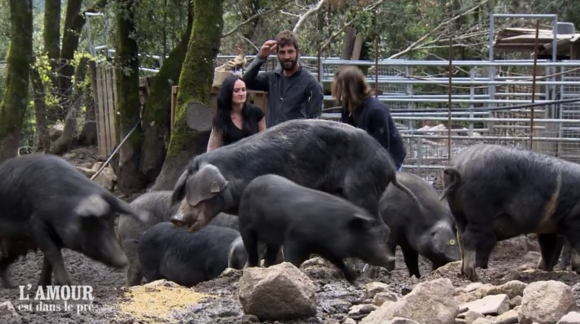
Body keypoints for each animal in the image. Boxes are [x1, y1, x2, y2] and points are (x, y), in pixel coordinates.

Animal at [0, 153, 146, 288]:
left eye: (111, 224)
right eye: (92, 225)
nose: (124, 261)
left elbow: (48, 261)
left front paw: (44, 286)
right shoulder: (35, 225)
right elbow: (53, 253)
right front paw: (67, 284)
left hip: (14, 248)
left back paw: (11, 286)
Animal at [237, 173, 394, 282]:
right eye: (368, 237)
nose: (391, 259)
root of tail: (251, 184)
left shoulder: (328, 249)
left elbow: (339, 262)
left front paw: (354, 280)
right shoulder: (294, 239)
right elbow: (293, 259)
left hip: (272, 239)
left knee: (270, 254)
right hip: (245, 227)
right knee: (252, 251)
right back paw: (250, 270)